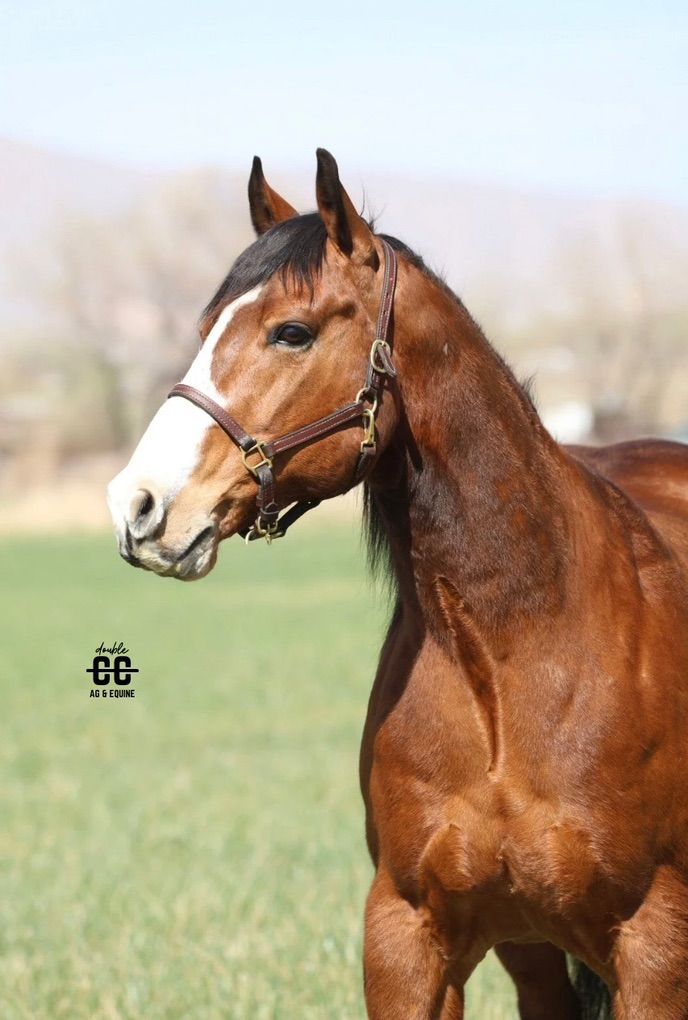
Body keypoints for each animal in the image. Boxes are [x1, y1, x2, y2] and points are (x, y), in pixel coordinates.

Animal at [107, 149, 688, 1019]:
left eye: (292, 331)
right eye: (207, 326)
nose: (138, 505)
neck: (511, 663)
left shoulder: (654, 947)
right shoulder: (408, 938)